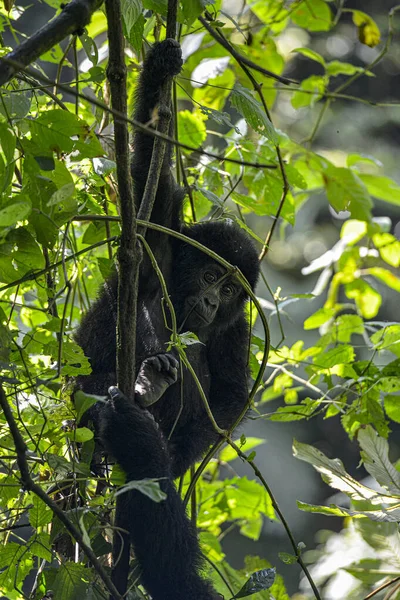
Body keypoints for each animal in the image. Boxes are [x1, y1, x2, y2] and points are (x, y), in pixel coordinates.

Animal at [76, 38, 260, 600]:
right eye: (209, 276)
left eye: (229, 290)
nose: (211, 303)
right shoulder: (159, 244)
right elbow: (149, 187)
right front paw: (158, 76)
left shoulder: (237, 328)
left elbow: (228, 391)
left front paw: (168, 456)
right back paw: (143, 382)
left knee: (193, 362)